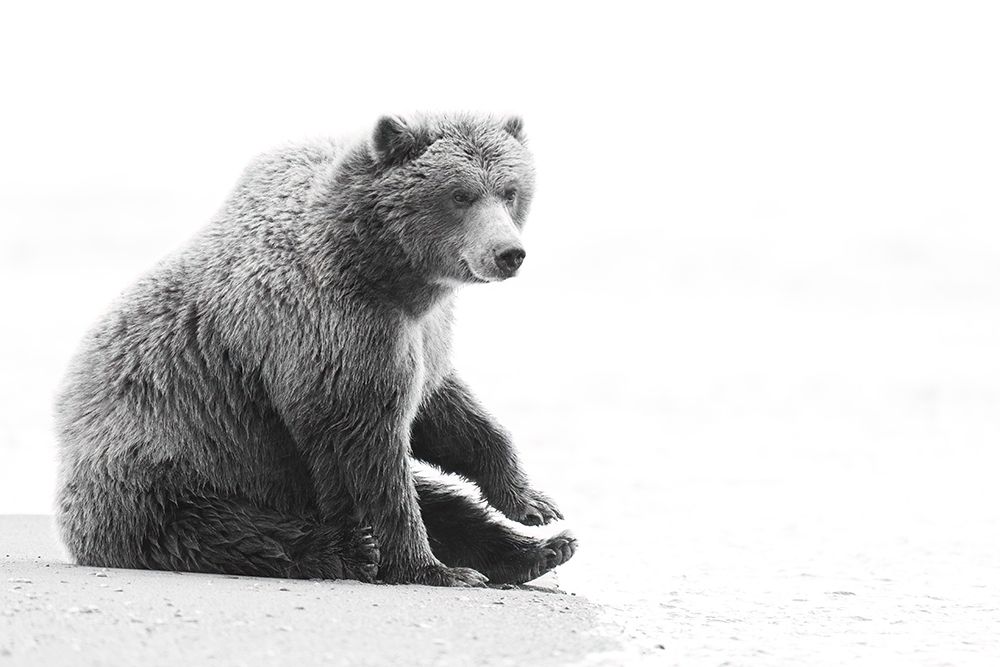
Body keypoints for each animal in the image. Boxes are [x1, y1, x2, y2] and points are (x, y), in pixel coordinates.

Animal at [53, 113, 576, 587]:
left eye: (509, 191)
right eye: (460, 195)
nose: (509, 253)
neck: (391, 275)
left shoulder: (421, 334)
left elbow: (445, 412)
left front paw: (533, 502)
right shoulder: (332, 331)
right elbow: (366, 449)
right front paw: (431, 568)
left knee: (444, 503)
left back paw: (542, 551)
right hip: (174, 468)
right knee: (227, 529)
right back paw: (351, 551)